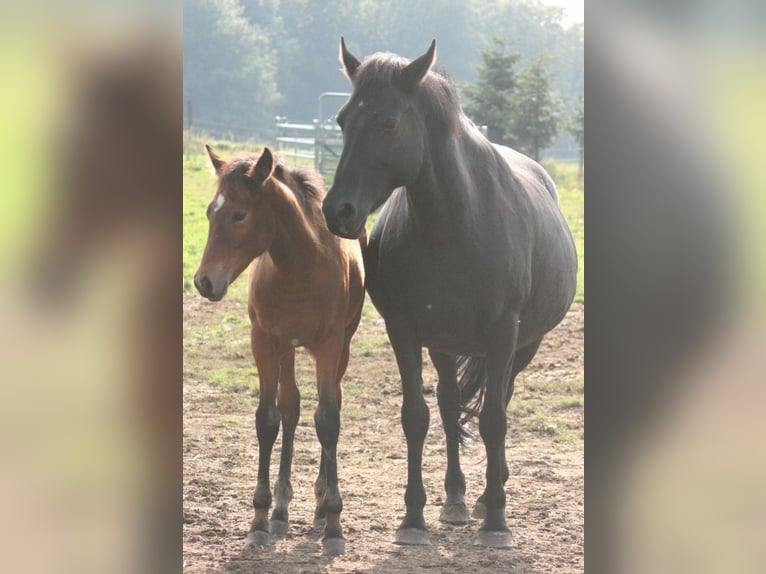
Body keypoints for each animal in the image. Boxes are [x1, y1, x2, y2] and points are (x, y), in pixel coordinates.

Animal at [196, 146, 368, 556]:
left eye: (239, 214)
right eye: (210, 212)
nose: (203, 282)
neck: (300, 267)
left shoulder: (330, 345)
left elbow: (328, 420)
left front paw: (333, 524)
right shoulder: (264, 343)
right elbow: (268, 419)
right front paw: (259, 519)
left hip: (341, 348)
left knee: (330, 404)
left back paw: (319, 508)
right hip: (287, 350)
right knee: (291, 407)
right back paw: (280, 511)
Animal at [320, 39, 580, 548]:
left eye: (388, 122)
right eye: (342, 119)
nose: (338, 210)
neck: (454, 225)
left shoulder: (503, 334)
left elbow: (494, 418)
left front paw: (497, 521)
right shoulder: (404, 329)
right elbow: (417, 416)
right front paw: (413, 518)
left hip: (524, 345)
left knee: (499, 400)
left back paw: (486, 496)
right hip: (444, 343)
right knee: (449, 403)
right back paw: (457, 498)